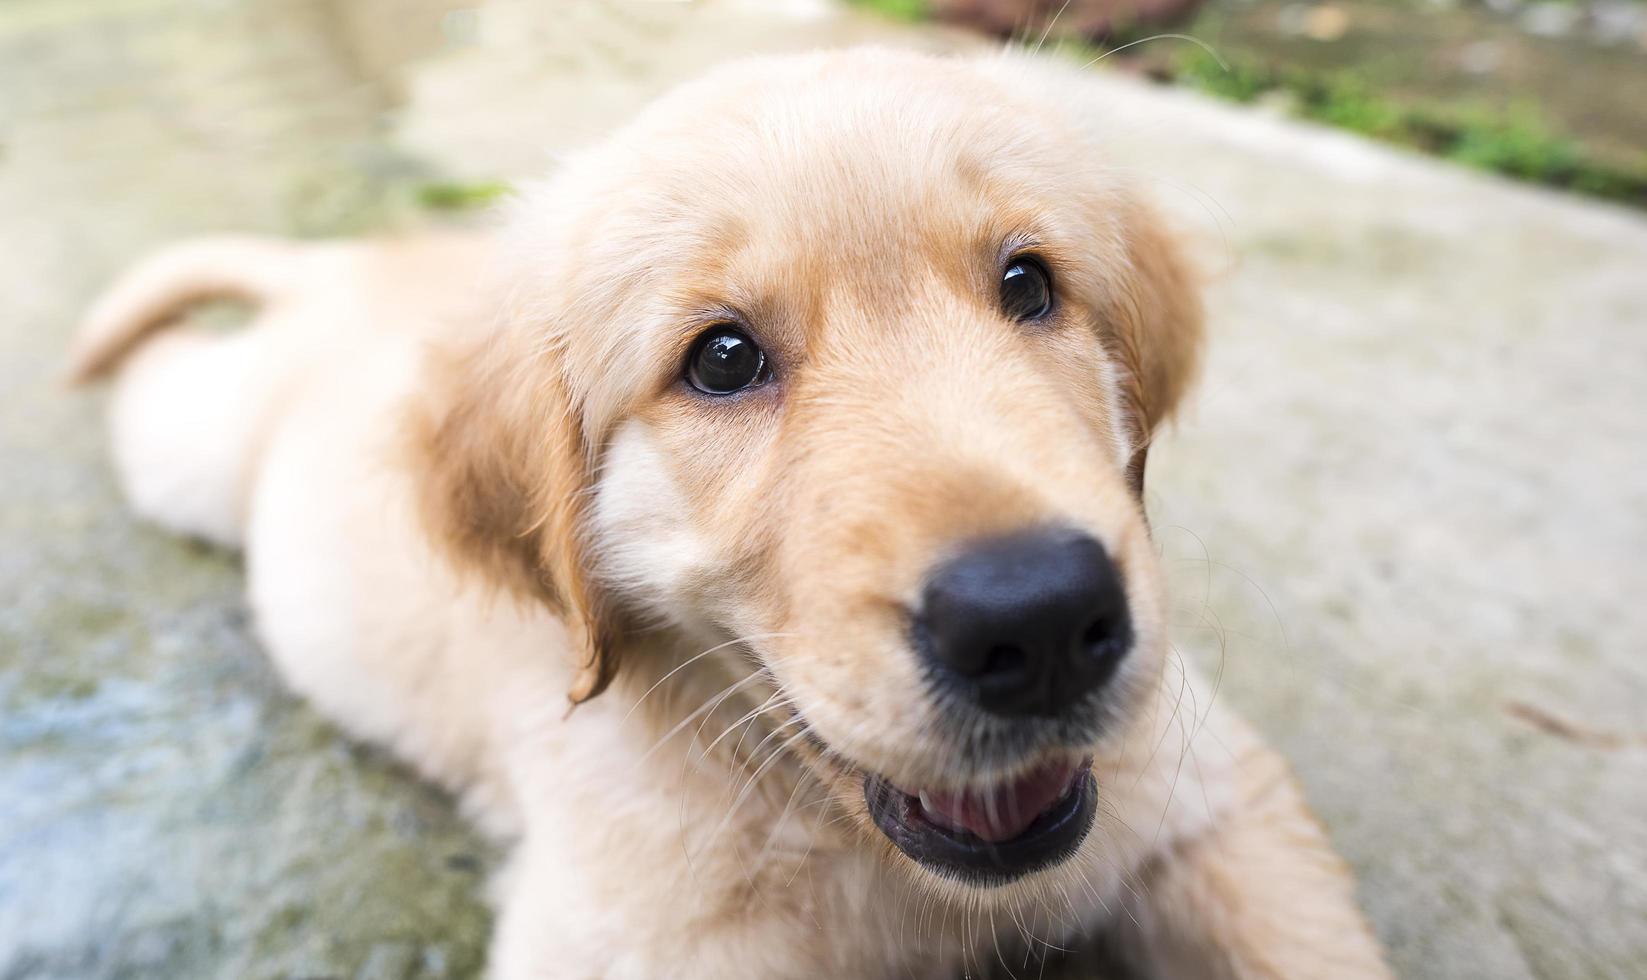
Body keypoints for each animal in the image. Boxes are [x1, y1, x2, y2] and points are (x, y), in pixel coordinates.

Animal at [74, 47, 1390, 980]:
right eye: (720, 359)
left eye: (1029, 284)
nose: (1042, 618)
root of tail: (351, 263)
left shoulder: (1213, 800)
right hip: (195, 451)